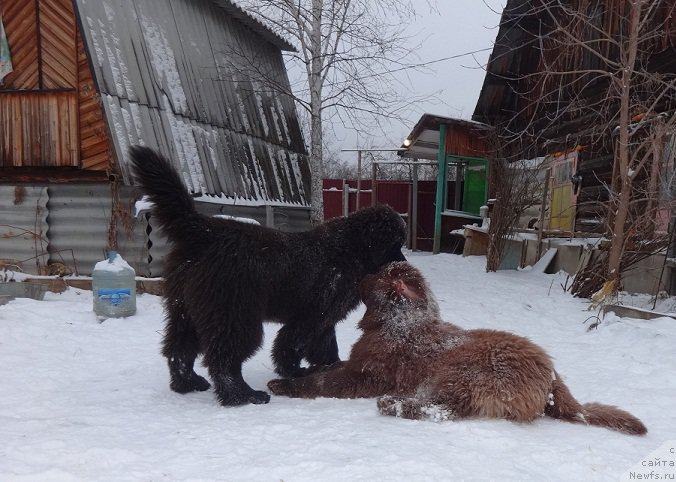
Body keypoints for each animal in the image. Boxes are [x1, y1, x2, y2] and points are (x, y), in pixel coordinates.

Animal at [130, 147, 410, 406]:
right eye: (394, 244)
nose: (405, 264)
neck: (350, 249)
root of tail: (204, 231)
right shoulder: (311, 315)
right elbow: (292, 344)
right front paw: (293, 371)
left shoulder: (324, 317)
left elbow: (325, 345)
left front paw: (331, 366)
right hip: (234, 315)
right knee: (224, 358)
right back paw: (242, 396)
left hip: (186, 309)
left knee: (179, 349)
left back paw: (187, 383)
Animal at [266, 262, 648, 434]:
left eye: (376, 275)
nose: (358, 276)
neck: (399, 322)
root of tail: (552, 375)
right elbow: (326, 369)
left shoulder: (365, 375)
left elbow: (323, 382)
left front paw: (286, 384)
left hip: (462, 374)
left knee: (446, 410)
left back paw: (394, 405)